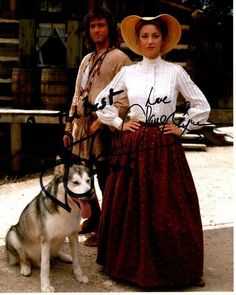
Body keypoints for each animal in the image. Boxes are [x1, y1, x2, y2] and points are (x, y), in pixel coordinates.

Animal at [5, 162, 94, 294]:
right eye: (75, 182)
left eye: (88, 181)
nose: (90, 193)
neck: (66, 209)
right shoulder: (46, 240)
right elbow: (46, 266)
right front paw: (45, 286)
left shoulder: (73, 234)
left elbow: (77, 258)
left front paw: (79, 276)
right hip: (12, 235)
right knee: (22, 258)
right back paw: (25, 267)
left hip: (61, 238)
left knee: (55, 253)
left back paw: (65, 256)